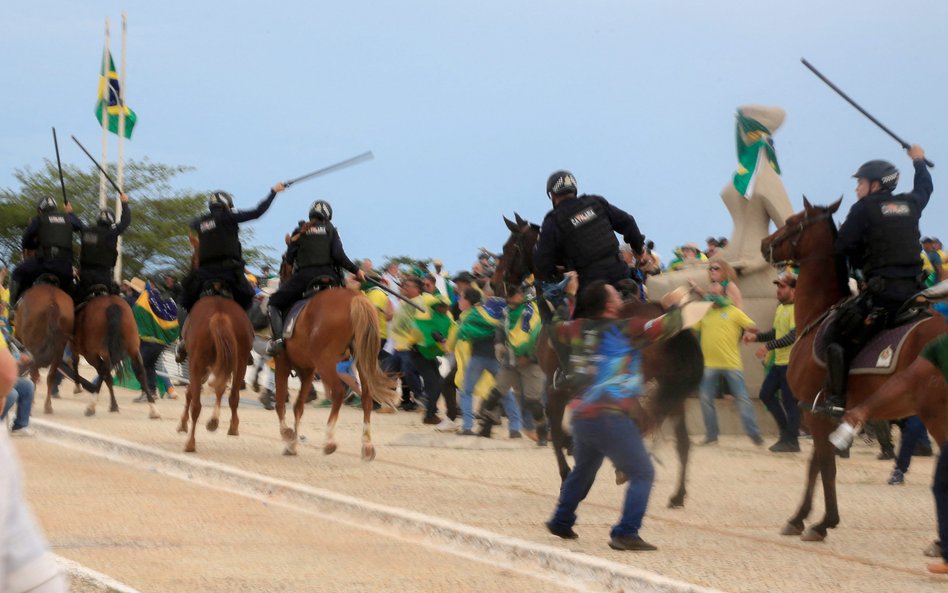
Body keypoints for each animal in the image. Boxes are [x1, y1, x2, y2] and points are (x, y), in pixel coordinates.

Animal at [13, 280, 74, 412]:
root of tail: (52, 301)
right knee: (50, 376)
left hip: (33, 346)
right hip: (59, 349)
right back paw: (48, 406)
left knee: (34, 374)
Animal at [272, 286, 398, 458]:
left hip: (325, 362)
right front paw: (292, 445)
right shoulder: (308, 370)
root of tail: (355, 297)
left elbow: (280, 403)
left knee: (338, 392)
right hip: (361, 361)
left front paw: (287, 434)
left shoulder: (282, 364)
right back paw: (367, 445)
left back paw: (329, 440)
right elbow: (298, 406)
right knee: (366, 398)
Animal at [488, 213, 704, 504]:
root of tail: (666, 317)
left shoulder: (558, 388)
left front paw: (567, 475)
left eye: (510, 248)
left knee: (645, 421)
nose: (496, 283)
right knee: (680, 441)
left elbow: (558, 431)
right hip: (669, 386)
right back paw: (677, 495)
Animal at [764, 197, 948, 540]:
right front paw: (803, 518)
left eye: (792, 221)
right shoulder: (819, 413)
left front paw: (822, 522)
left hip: (934, 412)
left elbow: (825, 466)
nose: (764, 244)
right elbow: (816, 464)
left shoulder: (814, 411)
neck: (818, 315)